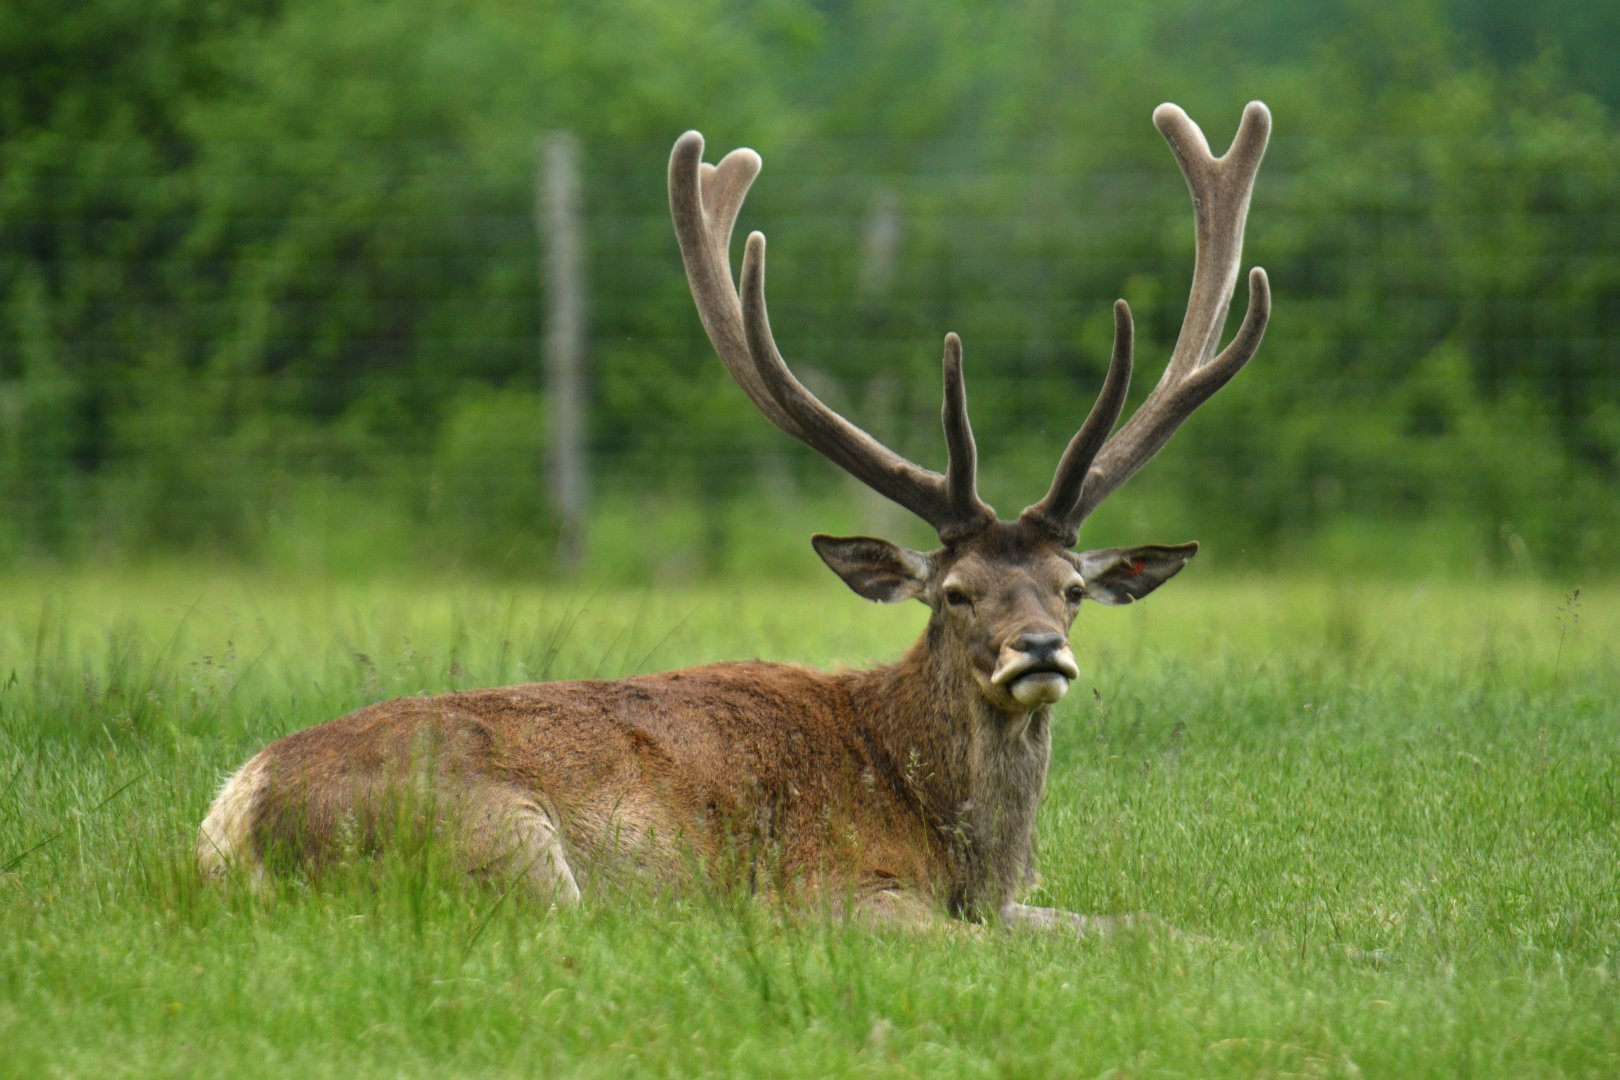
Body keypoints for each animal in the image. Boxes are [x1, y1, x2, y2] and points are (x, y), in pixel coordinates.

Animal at [198, 101, 1271, 935]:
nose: (1039, 649)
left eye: (1072, 587)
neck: (955, 850)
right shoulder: (832, 892)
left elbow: (1150, 927)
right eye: (957, 593)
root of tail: (233, 821)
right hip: (504, 846)